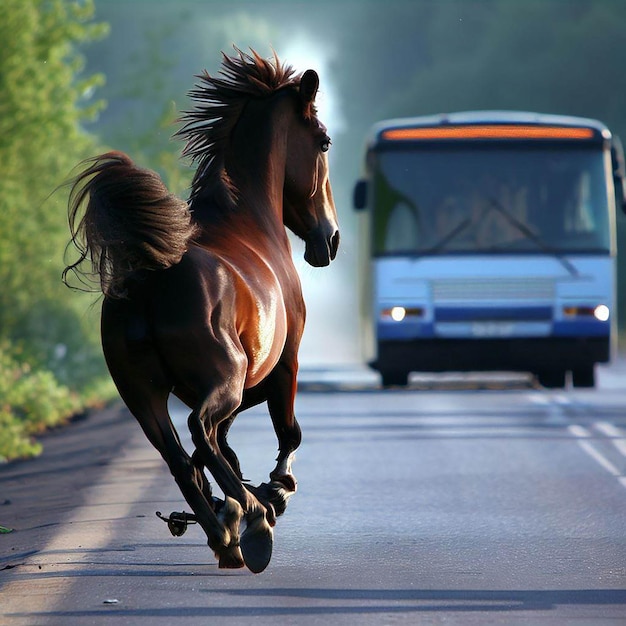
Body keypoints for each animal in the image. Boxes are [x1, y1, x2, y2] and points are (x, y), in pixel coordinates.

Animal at [61, 51, 338, 572]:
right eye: (324, 140)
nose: (329, 240)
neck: (249, 219)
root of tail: (150, 279)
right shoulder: (281, 366)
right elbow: (286, 434)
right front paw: (274, 491)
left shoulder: (232, 386)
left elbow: (217, 449)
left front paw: (238, 501)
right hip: (221, 380)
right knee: (197, 434)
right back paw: (252, 522)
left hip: (144, 396)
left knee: (180, 456)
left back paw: (224, 530)